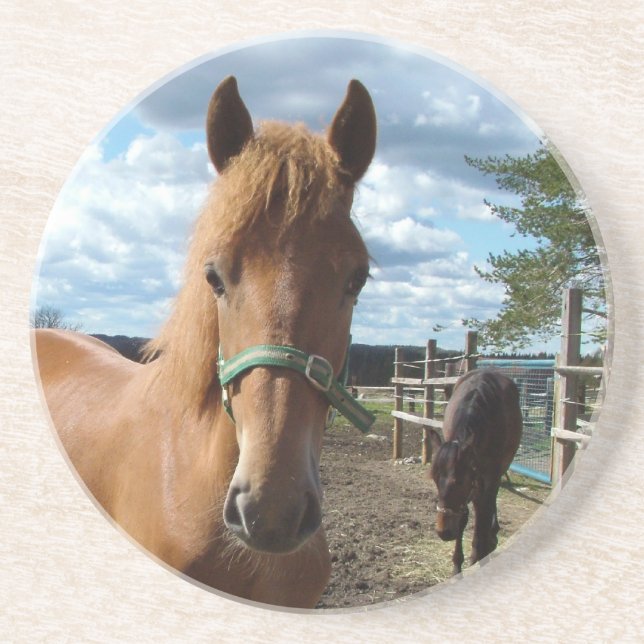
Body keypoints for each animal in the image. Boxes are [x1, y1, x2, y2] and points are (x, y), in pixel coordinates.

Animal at [428, 369, 523, 575]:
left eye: (459, 481)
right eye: (434, 479)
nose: (443, 532)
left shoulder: (488, 479)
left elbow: (482, 519)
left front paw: (479, 554)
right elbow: (463, 518)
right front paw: (457, 564)